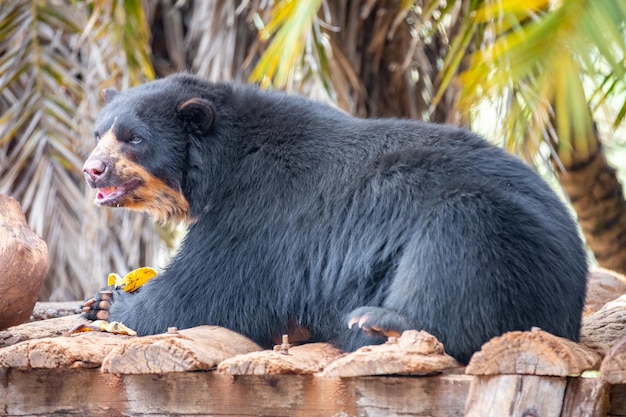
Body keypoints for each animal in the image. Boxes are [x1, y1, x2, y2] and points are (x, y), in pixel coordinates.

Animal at [81, 73, 584, 362]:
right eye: (99, 132)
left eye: (134, 138)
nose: (92, 169)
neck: (222, 161)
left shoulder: (260, 211)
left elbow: (206, 286)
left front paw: (110, 305)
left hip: (505, 238)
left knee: (461, 235)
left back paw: (379, 323)